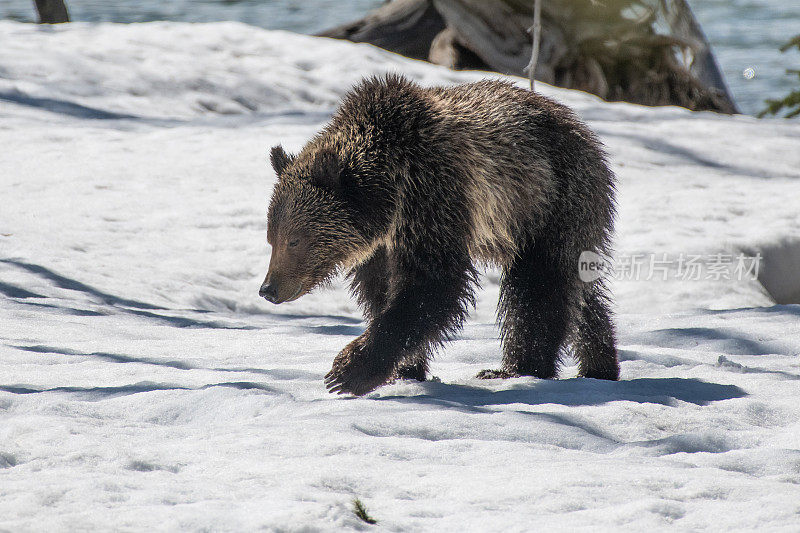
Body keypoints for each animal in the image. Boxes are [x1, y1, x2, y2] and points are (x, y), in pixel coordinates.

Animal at [260, 72, 620, 392]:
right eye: (271, 238)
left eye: (294, 239)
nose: (268, 289)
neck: (389, 198)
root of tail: (585, 131)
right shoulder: (382, 245)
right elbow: (382, 291)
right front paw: (405, 369)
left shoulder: (434, 195)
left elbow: (432, 283)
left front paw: (349, 370)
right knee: (582, 293)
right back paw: (600, 365)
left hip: (550, 203)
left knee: (537, 287)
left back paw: (519, 368)